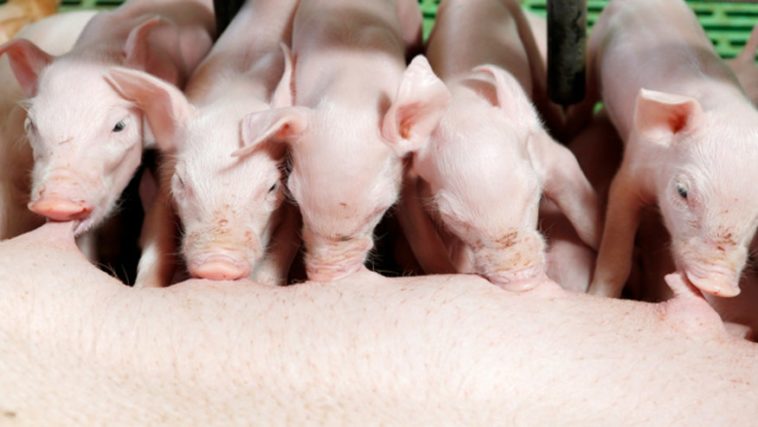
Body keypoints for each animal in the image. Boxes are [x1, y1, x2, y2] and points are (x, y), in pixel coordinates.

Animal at [106, 0, 300, 285]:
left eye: (273, 187)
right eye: (181, 182)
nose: (218, 266)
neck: (237, 94)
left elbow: (283, 248)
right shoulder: (165, 179)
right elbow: (156, 236)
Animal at [395, 0, 600, 290]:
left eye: (533, 192)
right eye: (453, 219)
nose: (521, 279)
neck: (462, 106)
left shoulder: (544, 151)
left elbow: (585, 214)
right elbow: (428, 247)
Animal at [588, 0, 758, 299]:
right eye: (682, 191)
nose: (717, 285)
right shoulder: (631, 169)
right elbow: (616, 253)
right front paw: (596, 298)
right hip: (592, 48)